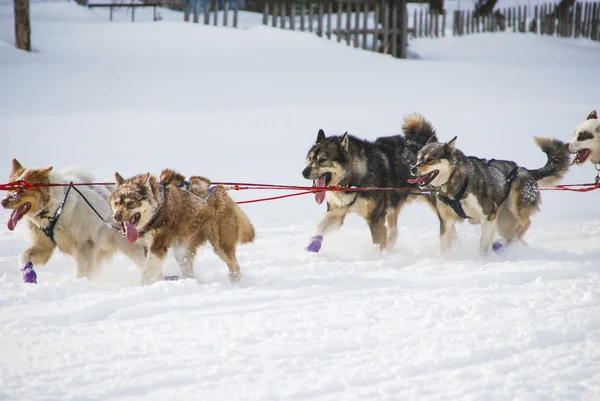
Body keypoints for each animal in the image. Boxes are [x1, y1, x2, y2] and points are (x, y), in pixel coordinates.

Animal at [2, 159, 146, 278]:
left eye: (23, 189)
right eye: (10, 187)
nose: (3, 202)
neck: (57, 209)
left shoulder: (84, 247)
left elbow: (82, 272)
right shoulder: (45, 246)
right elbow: (25, 256)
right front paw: (27, 273)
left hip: (133, 250)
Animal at [109, 169, 254, 284]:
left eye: (130, 203)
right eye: (116, 203)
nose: (117, 216)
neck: (158, 209)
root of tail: (220, 190)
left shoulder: (157, 247)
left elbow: (147, 274)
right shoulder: (148, 248)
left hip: (221, 246)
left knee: (234, 267)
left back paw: (235, 284)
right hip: (182, 250)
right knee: (188, 268)